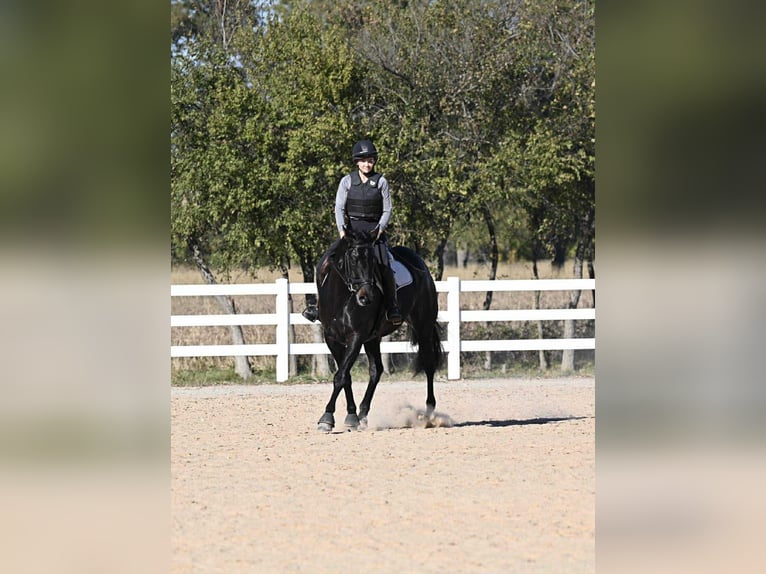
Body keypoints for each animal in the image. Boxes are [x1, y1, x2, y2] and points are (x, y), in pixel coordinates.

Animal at [315, 228, 443, 432]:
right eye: (352, 259)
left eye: (373, 261)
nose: (366, 297)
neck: (341, 298)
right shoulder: (332, 339)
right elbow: (345, 376)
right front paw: (351, 416)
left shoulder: (356, 337)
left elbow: (340, 376)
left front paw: (327, 418)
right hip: (373, 338)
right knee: (376, 370)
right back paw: (362, 415)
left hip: (423, 327)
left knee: (429, 365)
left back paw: (429, 413)